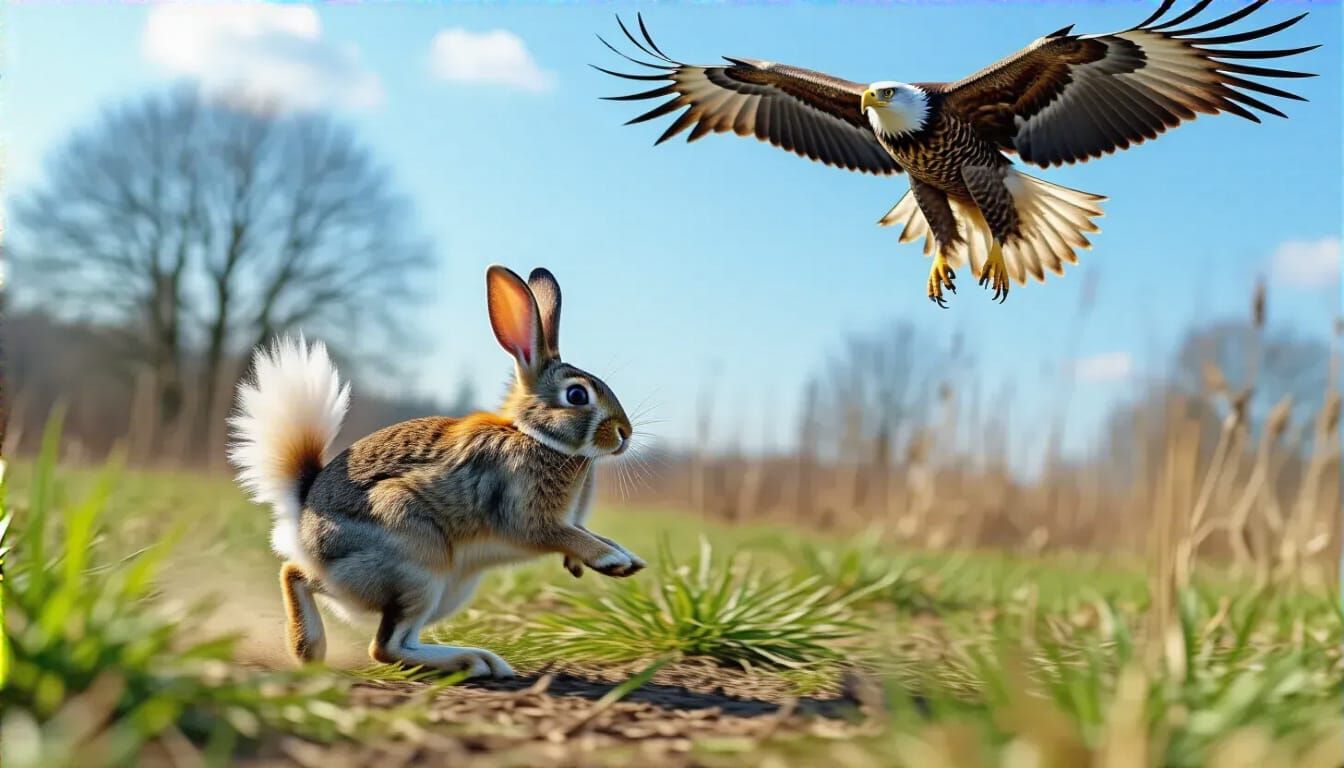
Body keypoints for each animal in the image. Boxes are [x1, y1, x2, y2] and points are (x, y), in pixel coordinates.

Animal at [228, 265, 645, 678]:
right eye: (577, 395)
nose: (624, 433)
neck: (533, 435)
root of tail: (301, 517)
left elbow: (584, 533)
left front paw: (619, 558)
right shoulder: (529, 518)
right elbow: (563, 535)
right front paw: (616, 562)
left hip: (442, 588)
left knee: (348, 608)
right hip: (418, 566)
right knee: (373, 636)